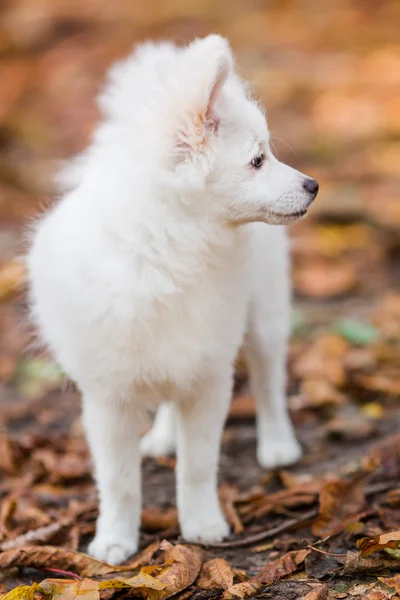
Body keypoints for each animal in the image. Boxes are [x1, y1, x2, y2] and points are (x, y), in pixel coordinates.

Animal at [26, 36, 318, 564]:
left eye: (268, 151)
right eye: (257, 160)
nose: (313, 185)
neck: (166, 251)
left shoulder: (208, 375)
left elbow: (198, 464)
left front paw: (201, 524)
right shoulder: (109, 396)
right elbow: (119, 481)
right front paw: (115, 540)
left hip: (264, 315)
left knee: (268, 381)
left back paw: (277, 444)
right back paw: (162, 436)